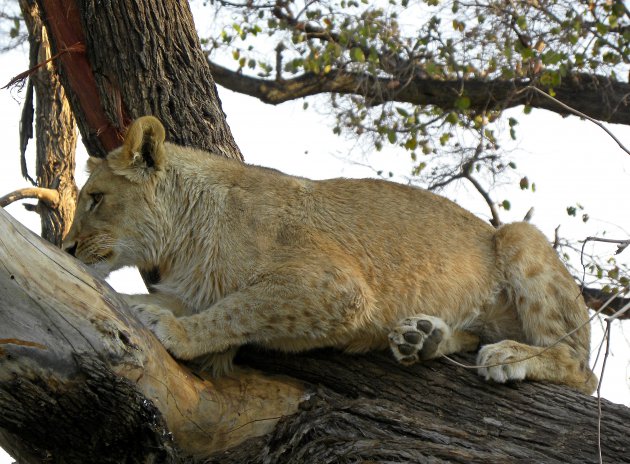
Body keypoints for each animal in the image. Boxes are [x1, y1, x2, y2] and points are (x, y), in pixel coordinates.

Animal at [63, 115, 596, 392]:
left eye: (95, 198)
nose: (67, 246)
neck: (180, 240)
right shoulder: (198, 285)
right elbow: (208, 301)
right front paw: (139, 304)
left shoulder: (336, 287)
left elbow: (239, 309)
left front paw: (173, 330)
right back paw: (422, 338)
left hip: (519, 237)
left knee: (581, 370)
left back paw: (508, 354)